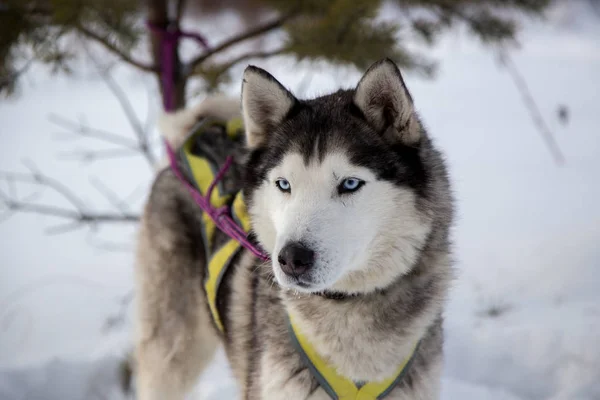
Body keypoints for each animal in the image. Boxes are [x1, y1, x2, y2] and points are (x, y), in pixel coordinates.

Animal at [135, 59, 454, 400]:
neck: (347, 304)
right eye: (284, 184)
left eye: (349, 184)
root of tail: (199, 134)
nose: (291, 258)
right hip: (173, 352)